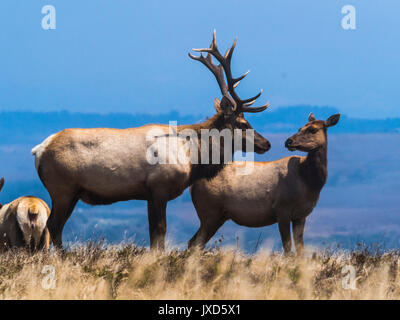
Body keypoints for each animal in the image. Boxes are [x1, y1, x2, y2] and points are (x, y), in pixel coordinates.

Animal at [31, 30, 272, 250]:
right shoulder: (159, 186)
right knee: (53, 226)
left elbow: (152, 232)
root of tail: (39, 150)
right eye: (243, 124)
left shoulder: (147, 193)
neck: (191, 158)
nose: (266, 144)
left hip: (71, 193)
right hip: (62, 188)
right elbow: (160, 231)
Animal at [189, 112, 340, 255]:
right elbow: (287, 249)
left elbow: (300, 250)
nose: (289, 141)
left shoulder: (301, 215)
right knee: (195, 243)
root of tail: (192, 185)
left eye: (312, 129)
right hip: (209, 212)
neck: (309, 182)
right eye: (300, 128)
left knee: (194, 242)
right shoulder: (282, 209)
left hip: (219, 216)